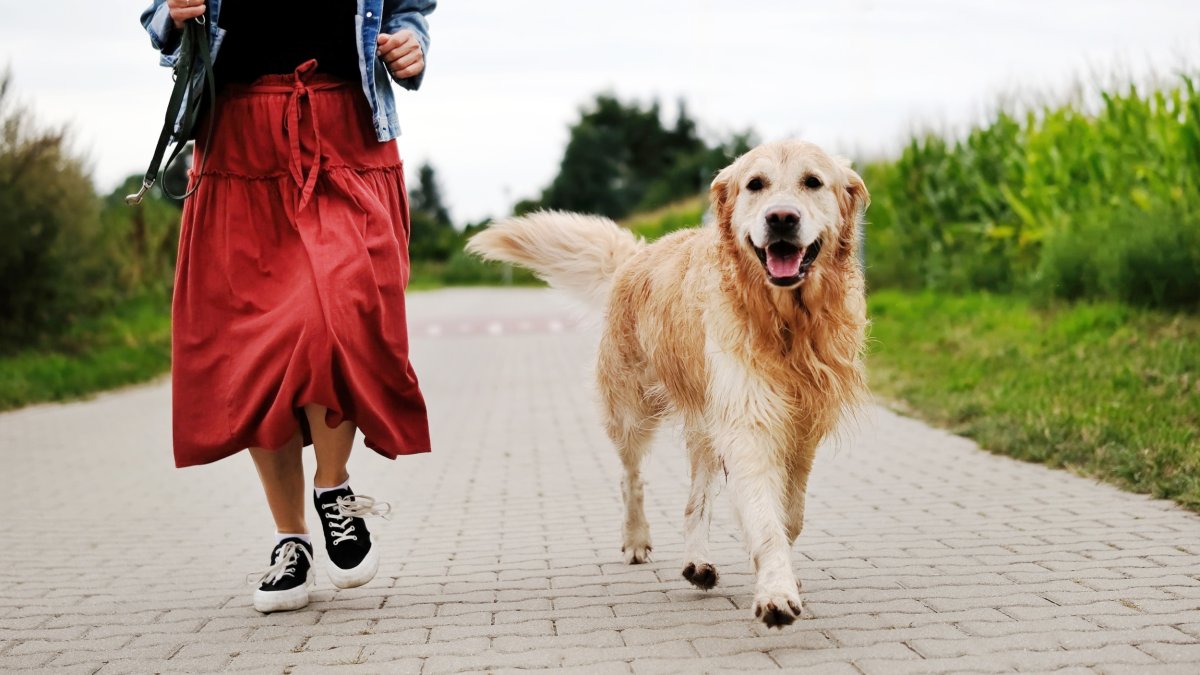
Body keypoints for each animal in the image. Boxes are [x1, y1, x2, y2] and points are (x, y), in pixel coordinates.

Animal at [468, 138, 873, 624]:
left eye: (813, 182)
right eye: (755, 184)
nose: (780, 218)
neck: (786, 321)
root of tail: (635, 256)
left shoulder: (803, 429)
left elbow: (789, 516)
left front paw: (783, 577)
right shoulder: (748, 420)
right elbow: (765, 516)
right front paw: (776, 592)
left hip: (704, 423)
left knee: (694, 501)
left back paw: (697, 563)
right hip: (631, 410)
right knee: (630, 477)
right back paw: (636, 539)